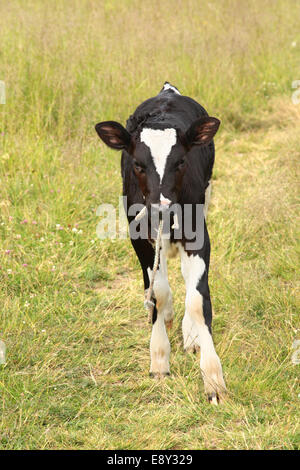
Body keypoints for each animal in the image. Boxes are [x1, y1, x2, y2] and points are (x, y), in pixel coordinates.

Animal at [95, 81, 226, 404]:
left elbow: (197, 301)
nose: (162, 209)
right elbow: (158, 292)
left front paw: (212, 377)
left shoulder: (197, 233)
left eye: (181, 161)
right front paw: (159, 358)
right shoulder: (138, 235)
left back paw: (190, 335)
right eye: (138, 164)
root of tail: (167, 90)